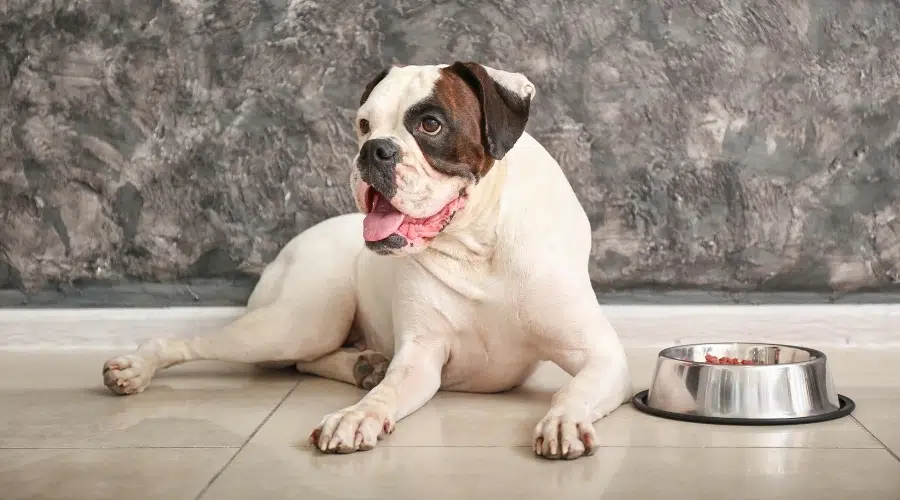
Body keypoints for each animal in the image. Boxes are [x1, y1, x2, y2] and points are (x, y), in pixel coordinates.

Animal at [103, 62, 632, 460]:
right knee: (198, 343)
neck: (479, 245)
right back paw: (136, 367)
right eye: (363, 125)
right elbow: (387, 394)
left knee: (305, 362)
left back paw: (364, 365)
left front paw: (563, 420)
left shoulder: (602, 357)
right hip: (294, 323)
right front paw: (357, 415)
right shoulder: (420, 358)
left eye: (431, 124)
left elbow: (573, 389)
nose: (372, 150)